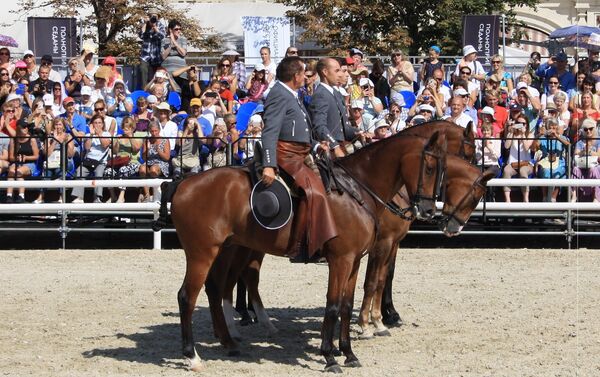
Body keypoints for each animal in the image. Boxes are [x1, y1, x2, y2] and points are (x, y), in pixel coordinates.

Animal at [166, 130, 448, 370]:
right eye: (430, 168)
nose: (428, 210)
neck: (355, 191)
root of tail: (185, 183)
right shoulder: (342, 260)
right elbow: (333, 305)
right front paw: (329, 356)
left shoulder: (355, 260)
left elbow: (346, 305)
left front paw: (349, 353)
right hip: (202, 254)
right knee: (186, 297)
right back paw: (192, 356)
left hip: (225, 250)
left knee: (214, 289)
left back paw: (228, 342)